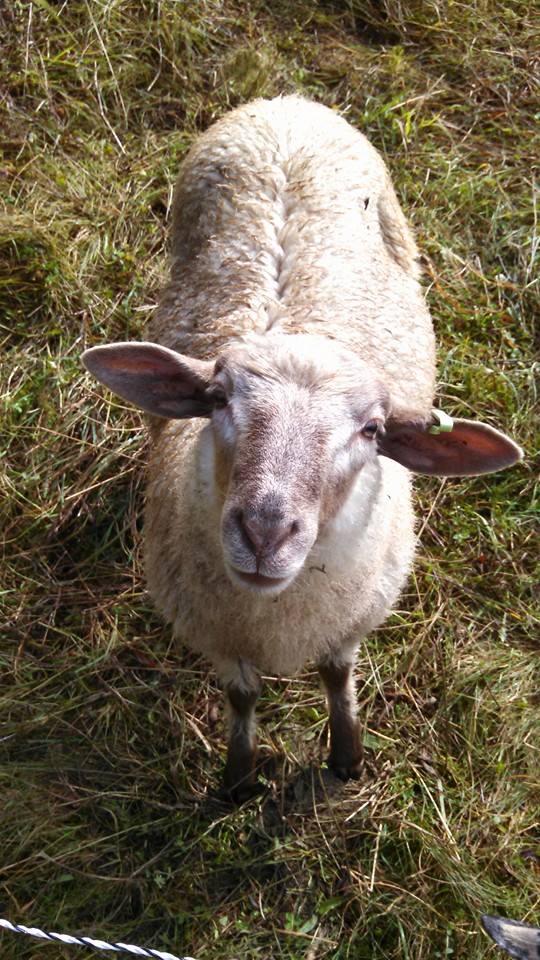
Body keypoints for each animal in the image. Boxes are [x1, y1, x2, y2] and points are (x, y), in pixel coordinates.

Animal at [83, 96, 522, 800]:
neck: (276, 616)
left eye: (372, 430)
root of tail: (286, 104)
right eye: (218, 398)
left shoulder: (351, 617)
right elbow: (241, 699)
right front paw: (238, 781)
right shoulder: (220, 635)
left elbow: (337, 679)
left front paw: (347, 758)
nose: (264, 532)